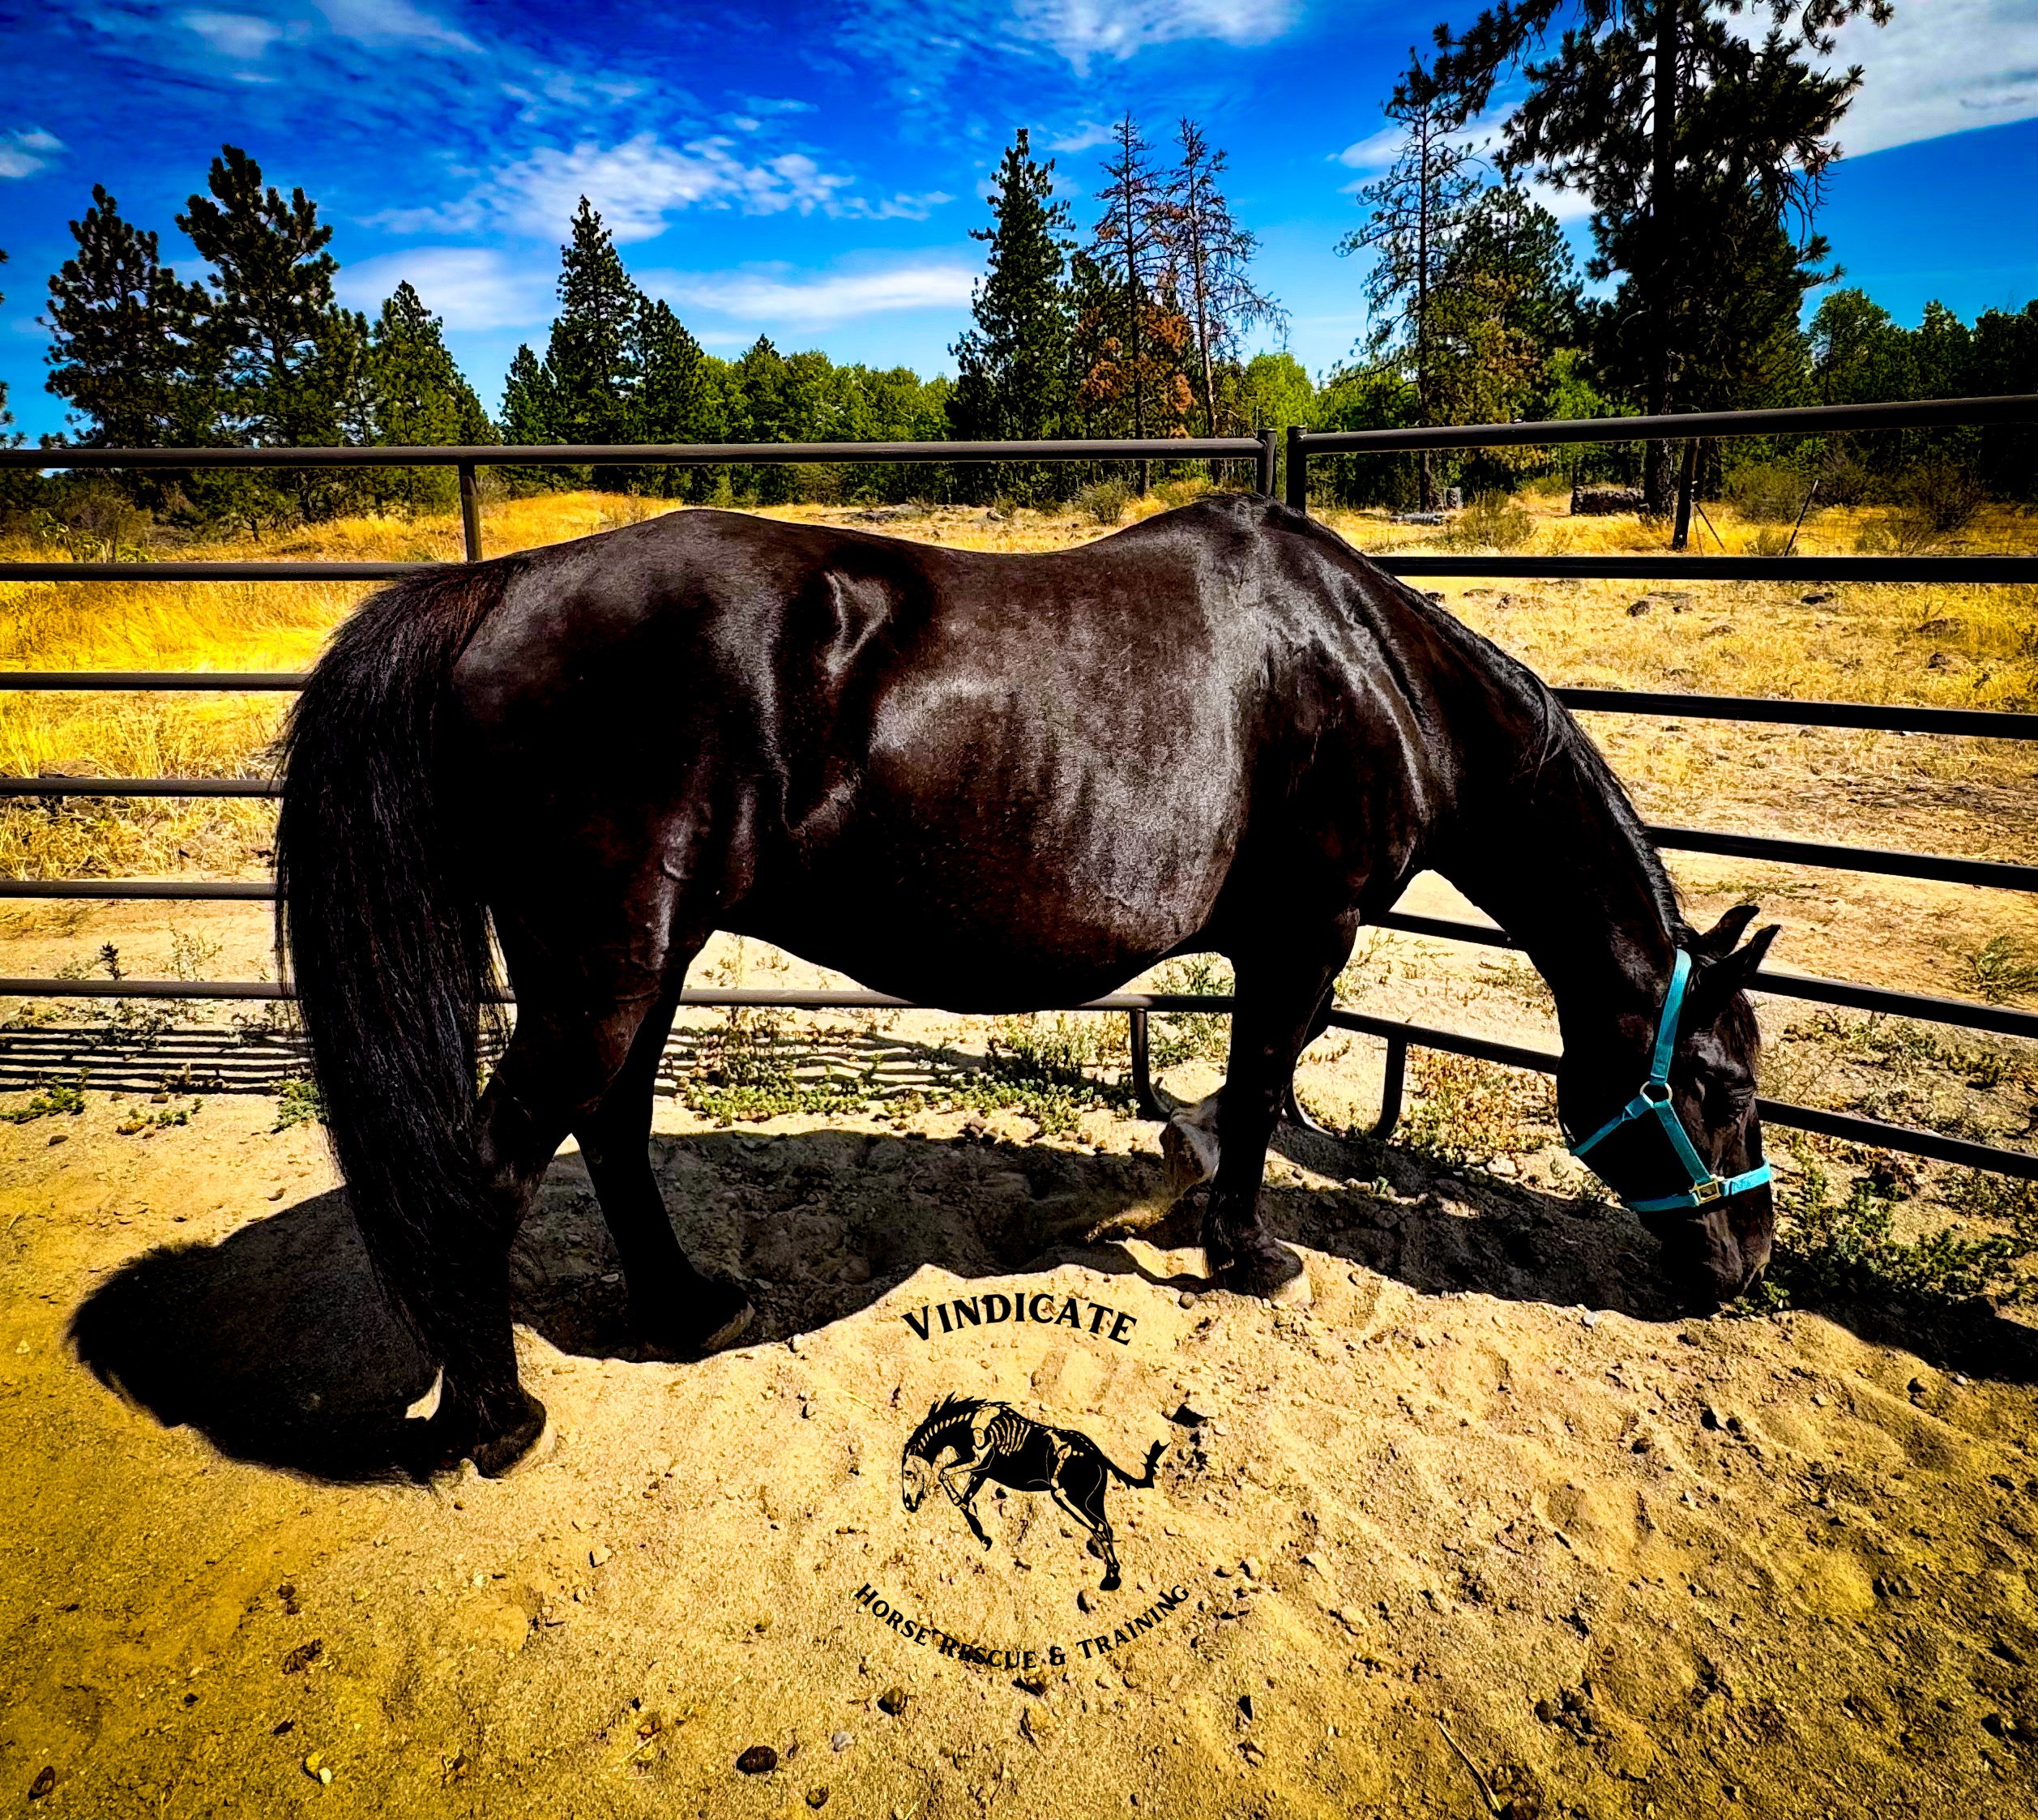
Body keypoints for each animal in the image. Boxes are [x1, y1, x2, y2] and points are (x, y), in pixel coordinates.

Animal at [275, 494, 1778, 1478]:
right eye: (1714, 1081)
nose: (1746, 1263)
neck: (1370, 669)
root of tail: (501, 585)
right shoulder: (1307, 933)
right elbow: (1259, 1088)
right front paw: (1248, 1253)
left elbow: (1242, 1093)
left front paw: (1199, 1205)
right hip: (604, 962)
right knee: (490, 1163)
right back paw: (494, 1419)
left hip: (636, 959)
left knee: (614, 1126)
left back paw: (688, 1307)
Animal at [900, 1393, 1165, 1590]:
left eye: (909, 1473)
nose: (909, 1504)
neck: (964, 1425)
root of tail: (1098, 1455)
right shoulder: (982, 1471)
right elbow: (964, 1500)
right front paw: (984, 1538)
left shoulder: (980, 1460)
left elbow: (944, 1474)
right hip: (1092, 1499)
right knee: (1106, 1528)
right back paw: (1114, 1575)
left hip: (1067, 1497)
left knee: (1098, 1527)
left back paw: (1111, 1580)